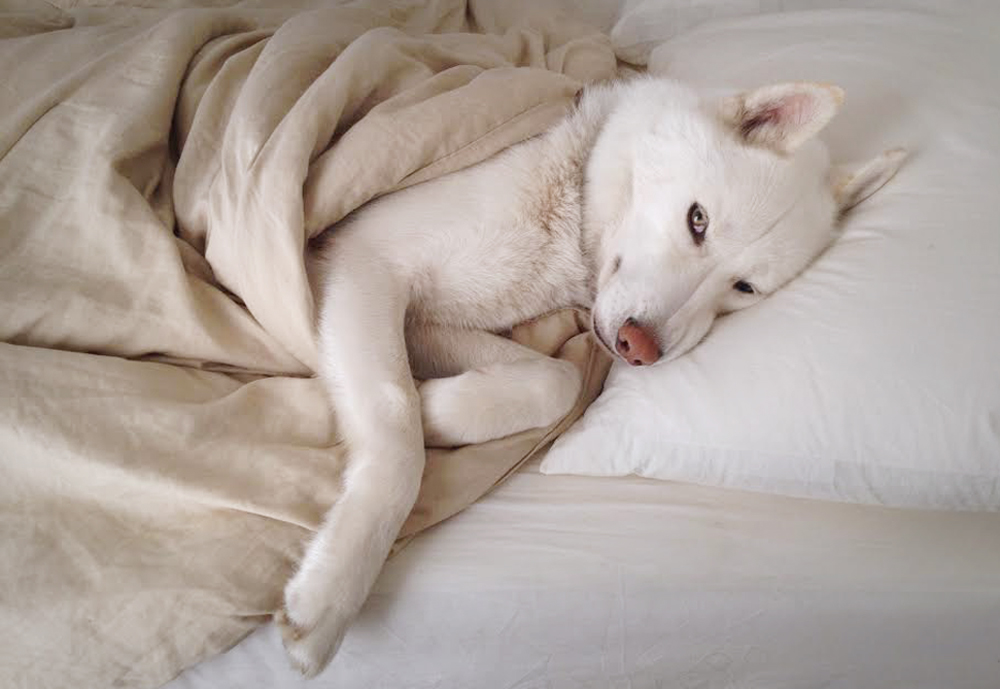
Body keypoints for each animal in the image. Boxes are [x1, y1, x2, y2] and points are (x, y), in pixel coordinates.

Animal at [278, 75, 905, 674]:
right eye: (697, 221)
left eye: (744, 288)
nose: (639, 348)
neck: (576, 196)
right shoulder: (362, 265)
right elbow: (393, 414)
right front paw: (331, 591)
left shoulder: (423, 323)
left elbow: (554, 381)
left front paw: (434, 409)